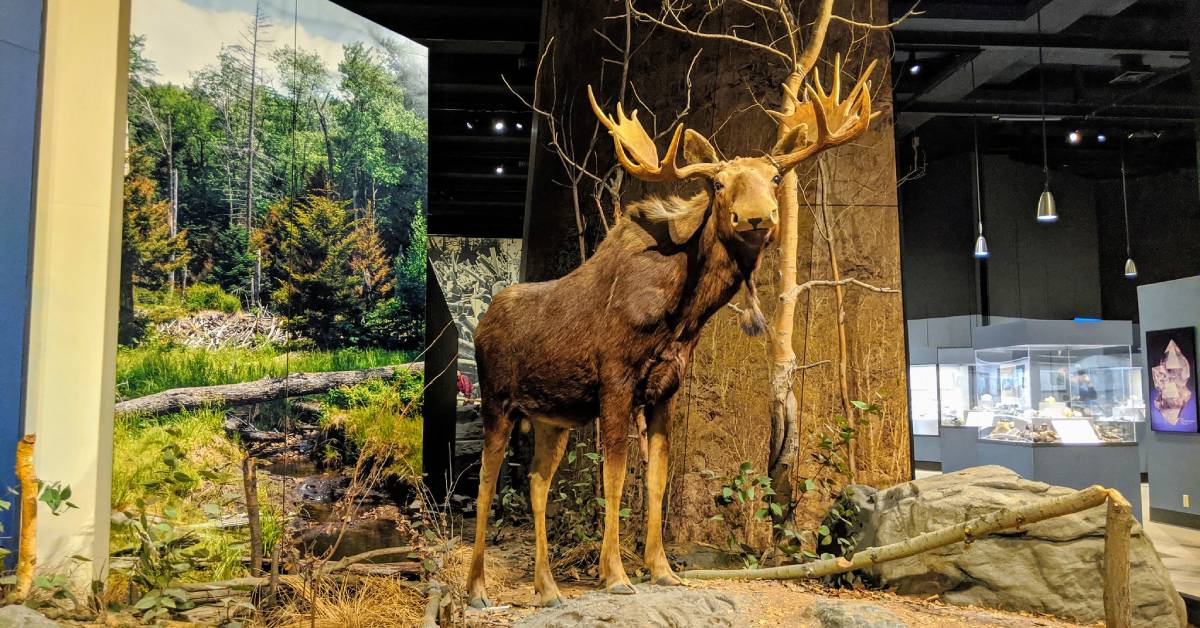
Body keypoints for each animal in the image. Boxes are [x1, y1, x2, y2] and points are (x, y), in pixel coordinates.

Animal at [465, 56, 873, 607]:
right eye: (719, 185)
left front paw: (661, 570)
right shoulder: (615, 382)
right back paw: (477, 588)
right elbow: (616, 479)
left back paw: (548, 588)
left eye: (774, 177)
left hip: (552, 418)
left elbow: (657, 480)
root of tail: (481, 321)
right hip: (496, 400)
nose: (757, 218)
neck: (682, 316)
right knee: (485, 483)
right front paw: (615, 574)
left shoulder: (664, 390)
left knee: (535, 482)